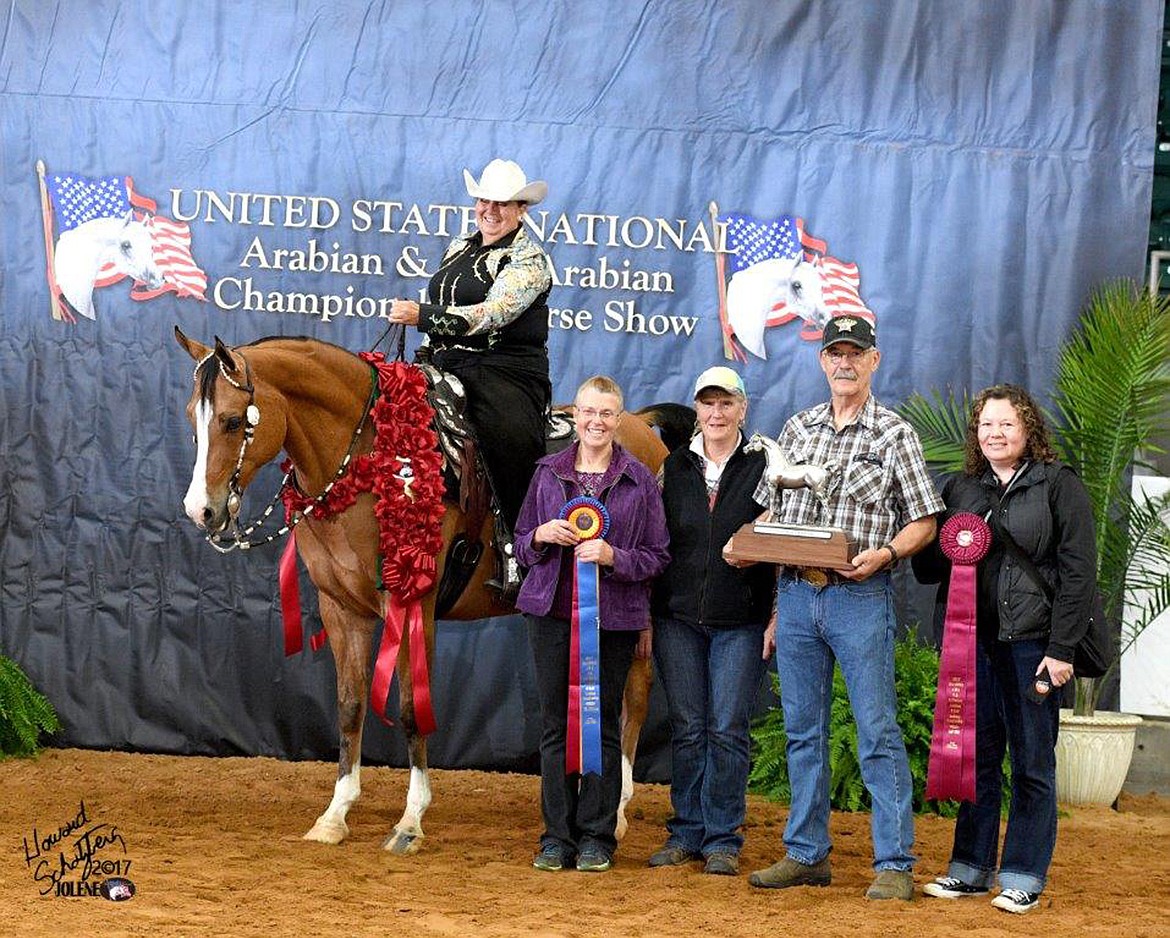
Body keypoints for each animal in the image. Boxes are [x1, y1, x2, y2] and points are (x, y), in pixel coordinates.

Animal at [175, 329, 683, 846]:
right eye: (192, 422)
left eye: (233, 421)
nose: (201, 511)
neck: (369, 460)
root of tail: (640, 425)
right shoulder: (341, 609)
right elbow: (350, 706)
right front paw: (335, 815)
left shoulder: (411, 603)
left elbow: (410, 711)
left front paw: (410, 820)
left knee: (634, 695)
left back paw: (617, 810)